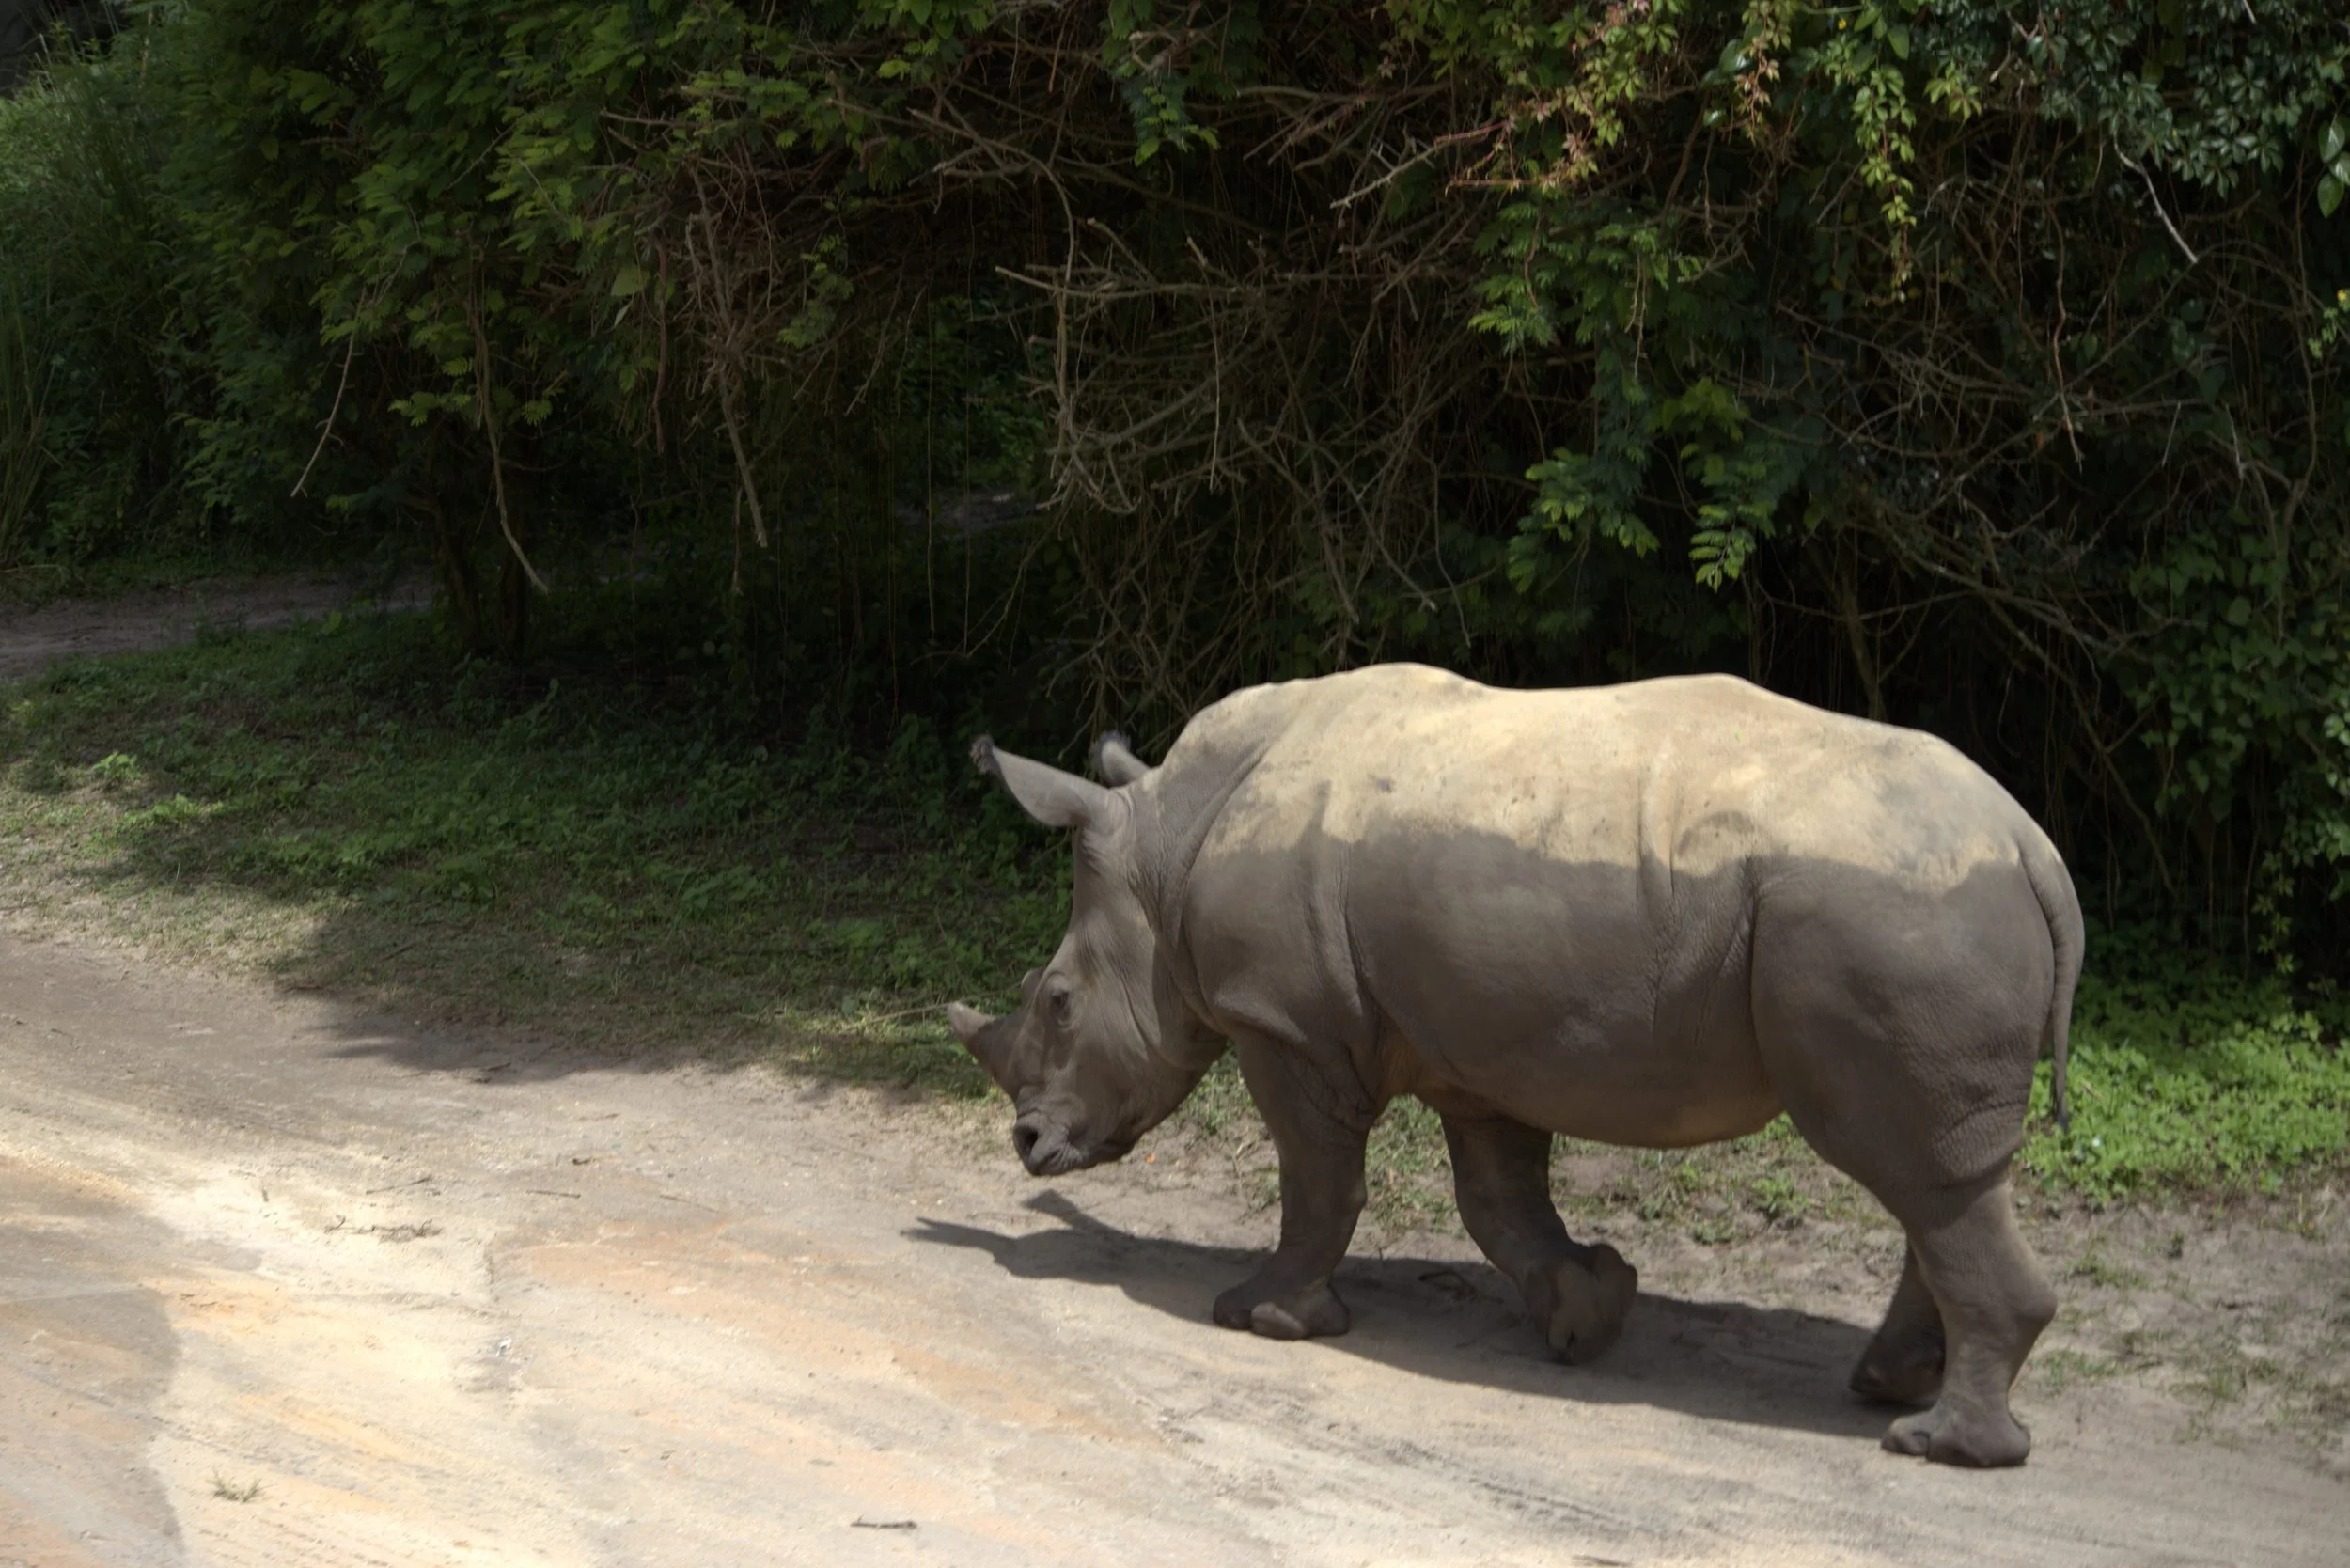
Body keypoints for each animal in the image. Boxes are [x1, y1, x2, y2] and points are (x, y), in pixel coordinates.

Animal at [947, 664, 2081, 1468]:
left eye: (1058, 1002)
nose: (1027, 1144)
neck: (1167, 846)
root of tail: (2033, 846)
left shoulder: (1288, 1025)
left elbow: (1318, 1176)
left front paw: (1260, 1319)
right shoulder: (1479, 1037)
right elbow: (1499, 1199)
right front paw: (1589, 1314)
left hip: (1889, 919)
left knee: (1914, 1167)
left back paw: (1935, 1445)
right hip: (1907, 914)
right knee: (1938, 1175)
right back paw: (1889, 1390)